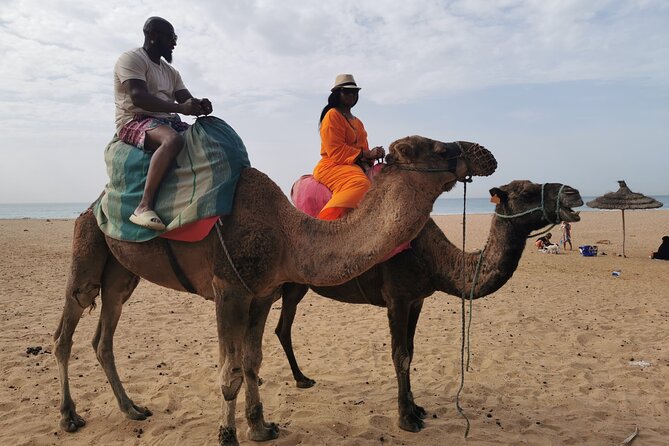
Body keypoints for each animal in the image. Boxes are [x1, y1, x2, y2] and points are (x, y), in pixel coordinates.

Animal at [53, 136, 496, 445]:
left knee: (103, 337)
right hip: (87, 247)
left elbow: (252, 361)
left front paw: (260, 426)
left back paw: (131, 409)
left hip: (121, 275)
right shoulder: (228, 290)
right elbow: (229, 371)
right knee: (66, 330)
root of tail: (92, 204)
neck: (288, 236)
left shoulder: (262, 294)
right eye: (437, 147)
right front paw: (227, 435)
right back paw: (69, 416)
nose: (485, 154)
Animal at [275, 180, 583, 432]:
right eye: (528, 192)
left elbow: (411, 352)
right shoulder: (397, 297)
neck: (433, 258)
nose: (573, 193)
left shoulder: (417, 299)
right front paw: (406, 419)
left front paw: (417, 408)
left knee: (282, 328)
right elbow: (400, 355)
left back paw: (302, 378)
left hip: (294, 286)